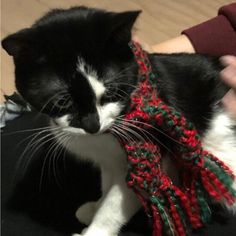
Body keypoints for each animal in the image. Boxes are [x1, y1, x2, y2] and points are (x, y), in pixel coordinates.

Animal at [2, 5, 236, 236]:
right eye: (62, 101)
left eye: (112, 92)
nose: (92, 125)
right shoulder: (110, 161)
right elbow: (107, 185)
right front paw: (95, 206)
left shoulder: (152, 159)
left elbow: (115, 205)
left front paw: (95, 229)